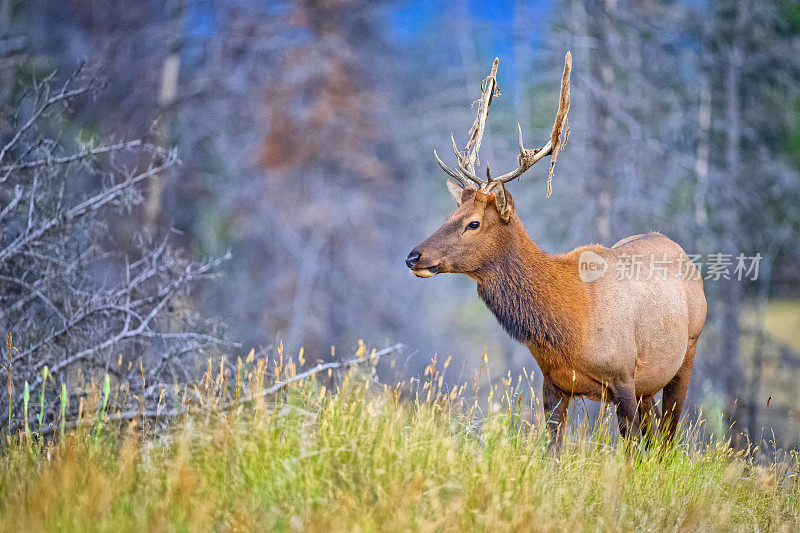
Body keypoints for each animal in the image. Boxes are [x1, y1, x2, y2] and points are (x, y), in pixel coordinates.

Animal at [406, 53, 708, 454]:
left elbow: (630, 452)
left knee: (668, 440)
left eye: (472, 223)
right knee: (657, 434)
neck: (568, 325)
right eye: (448, 215)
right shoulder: (553, 383)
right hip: (650, 384)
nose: (414, 256)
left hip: (686, 353)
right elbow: (553, 453)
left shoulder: (624, 376)